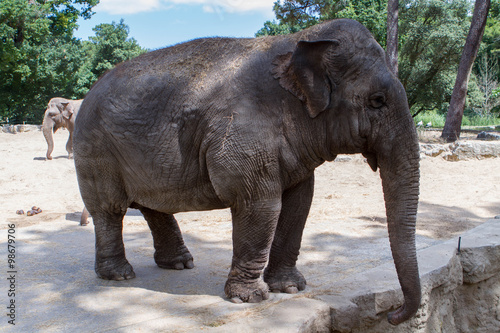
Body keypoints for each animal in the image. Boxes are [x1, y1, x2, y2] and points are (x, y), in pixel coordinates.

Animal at [72, 18, 420, 324]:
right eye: (377, 100)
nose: (392, 314)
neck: (300, 39)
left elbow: (299, 204)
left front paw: (290, 287)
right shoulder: (242, 131)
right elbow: (261, 204)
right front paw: (250, 298)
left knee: (152, 206)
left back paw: (180, 265)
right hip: (95, 149)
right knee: (109, 209)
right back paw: (119, 275)